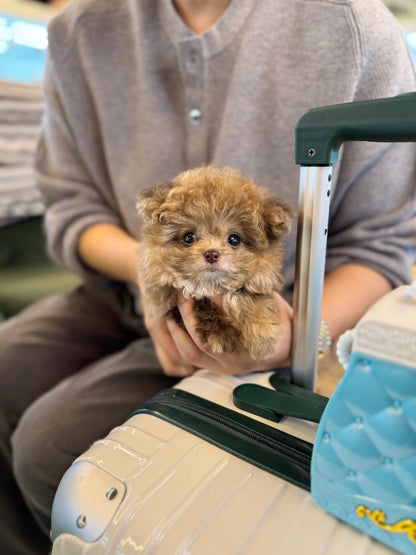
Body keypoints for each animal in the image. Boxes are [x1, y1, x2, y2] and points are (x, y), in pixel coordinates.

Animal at [137, 165, 292, 360]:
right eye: (188, 237)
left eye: (234, 239)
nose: (211, 254)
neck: (211, 286)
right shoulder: (165, 307)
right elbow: (201, 305)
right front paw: (220, 335)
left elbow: (252, 295)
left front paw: (260, 332)